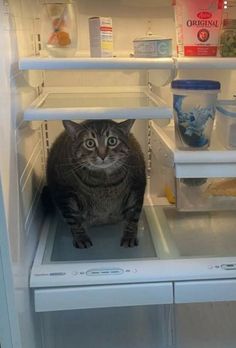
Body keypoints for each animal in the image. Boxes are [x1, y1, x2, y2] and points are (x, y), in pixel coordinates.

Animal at [45, 119, 146, 247]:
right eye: (90, 143)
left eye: (112, 141)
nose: (102, 155)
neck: (103, 182)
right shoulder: (64, 194)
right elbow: (73, 220)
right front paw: (81, 238)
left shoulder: (136, 188)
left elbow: (133, 217)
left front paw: (129, 237)